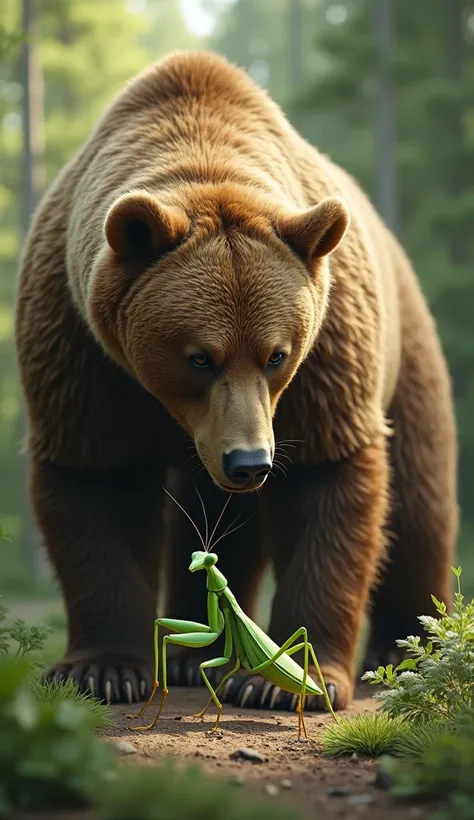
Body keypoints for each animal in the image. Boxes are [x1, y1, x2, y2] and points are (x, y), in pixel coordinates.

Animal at [15, 51, 460, 708]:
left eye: (276, 354)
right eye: (200, 356)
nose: (250, 462)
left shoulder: (326, 361)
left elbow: (328, 485)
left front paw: (289, 681)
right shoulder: (81, 350)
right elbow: (98, 481)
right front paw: (103, 668)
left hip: (407, 353)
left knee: (418, 502)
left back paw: (404, 648)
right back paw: (185, 655)